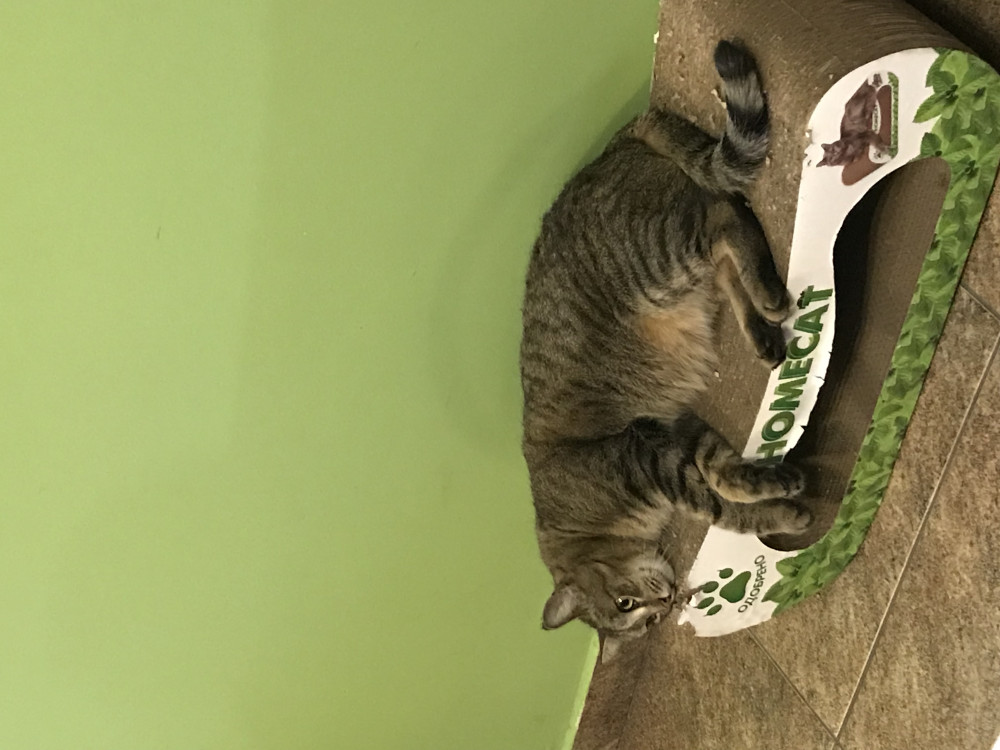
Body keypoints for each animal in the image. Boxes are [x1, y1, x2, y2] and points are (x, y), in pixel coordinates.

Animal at [519, 41, 812, 662]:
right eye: (637, 615)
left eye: (626, 603)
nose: (666, 602)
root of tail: (609, 149)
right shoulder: (671, 430)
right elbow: (724, 479)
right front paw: (770, 490)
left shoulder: (646, 457)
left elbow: (721, 508)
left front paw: (776, 506)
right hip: (680, 279)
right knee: (724, 244)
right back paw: (764, 332)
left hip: (658, 256)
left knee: (724, 213)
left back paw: (771, 300)